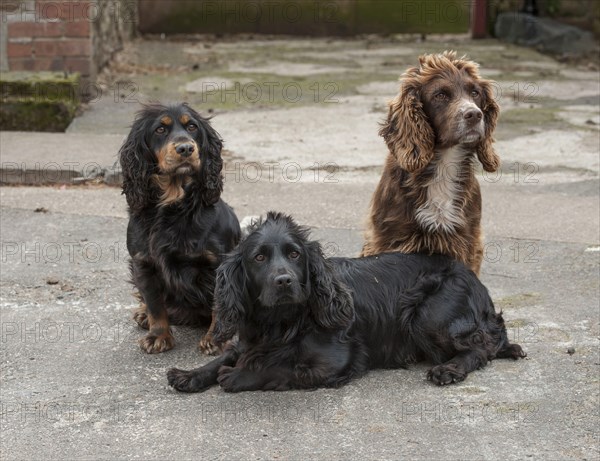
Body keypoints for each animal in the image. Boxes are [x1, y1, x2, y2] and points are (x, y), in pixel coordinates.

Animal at [119, 103, 241, 352]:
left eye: (192, 127)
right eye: (160, 129)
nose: (185, 148)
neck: (174, 205)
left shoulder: (219, 264)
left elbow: (219, 305)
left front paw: (216, 339)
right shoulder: (143, 262)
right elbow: (154, 303)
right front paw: (158, 336)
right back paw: (143, 314)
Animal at [166, 210, 524, 390]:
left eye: (295, 255)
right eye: (259, 258)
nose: (284, 281)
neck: (282, 322)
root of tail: (476, 281)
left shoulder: (336, 362)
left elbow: (281, 368)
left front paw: (239, 375)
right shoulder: (250, 338)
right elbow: (228, 355)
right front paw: (190, 374)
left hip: (430, 315)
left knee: (482, 347)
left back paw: (449, 369)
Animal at [360, 51, 502, 274]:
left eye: (475, 93)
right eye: (440, 95)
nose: (474, 115)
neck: (444, 164)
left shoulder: (468, 239)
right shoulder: (388, 237)